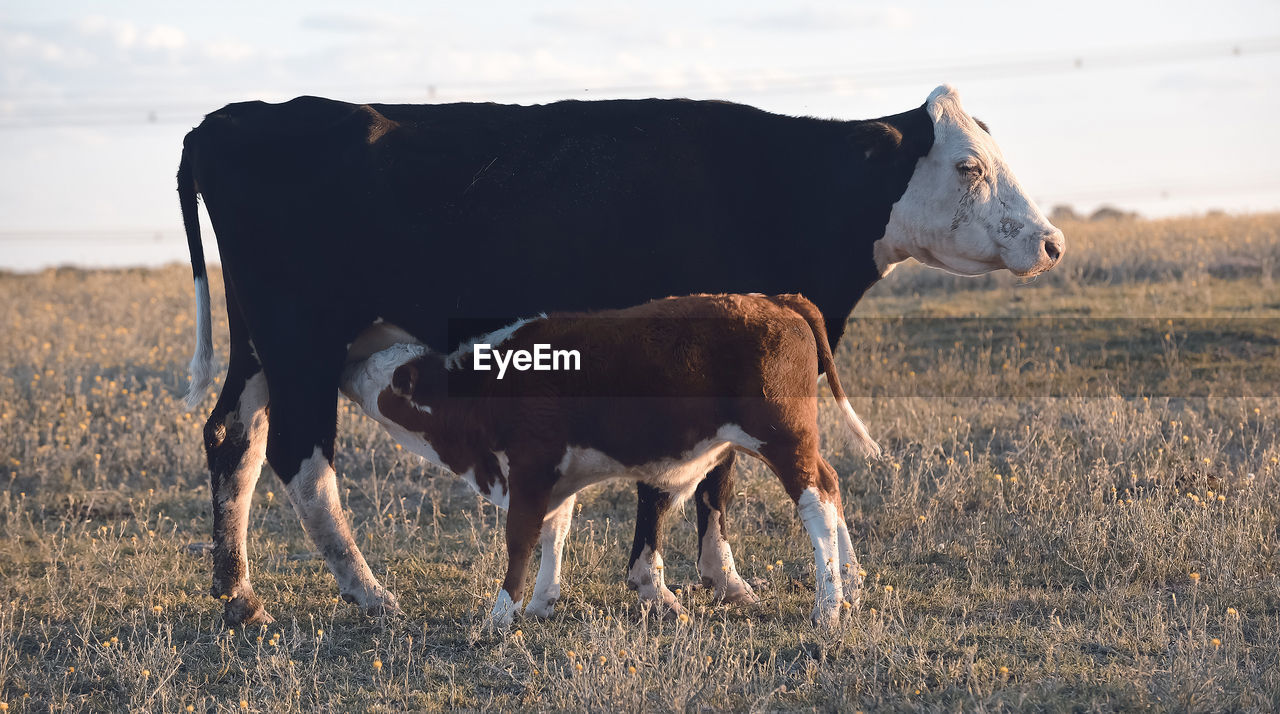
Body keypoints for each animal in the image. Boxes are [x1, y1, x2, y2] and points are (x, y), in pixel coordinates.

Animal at [340, 293, 880, 626]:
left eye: (396, 375)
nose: (349, 367)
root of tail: (776, 299)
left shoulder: (529, 470)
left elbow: (520, 540)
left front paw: (499, 614)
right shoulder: (553, 476)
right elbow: (554, 532)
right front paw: (541, 602)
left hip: (782, 438)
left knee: (816, 503)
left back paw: (828, 607)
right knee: (831, 485)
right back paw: (851, 584)